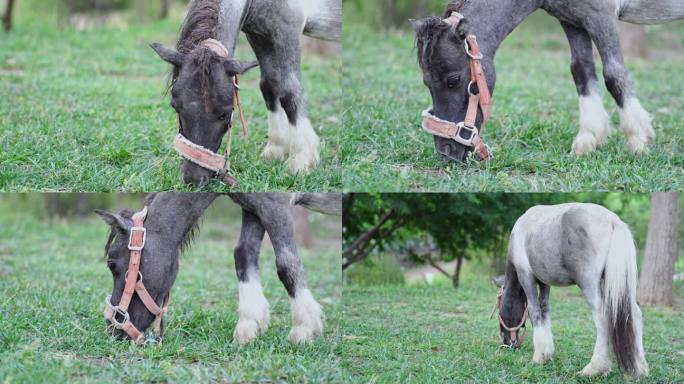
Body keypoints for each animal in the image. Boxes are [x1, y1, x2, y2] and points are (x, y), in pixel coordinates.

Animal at [96, 192, 342, 344]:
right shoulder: (254, 208)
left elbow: (286, 264)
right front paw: (248, 326)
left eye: (112, 264)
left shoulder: (276, 205)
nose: (113, 330)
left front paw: (304, 329)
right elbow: (244, 254)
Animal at [150, 0, 342, 186]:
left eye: (225, 113)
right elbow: (270, 84)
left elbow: (289, 89)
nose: (194, 179)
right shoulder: (260, 35)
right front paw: (276, 148)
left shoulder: (287, 30)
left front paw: (302, 160)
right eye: (175, 107)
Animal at [412, 0, 684, 162]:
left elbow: (614, 75)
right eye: (427, 84)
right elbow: (582, 71)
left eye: (453, 80)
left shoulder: (601, 16)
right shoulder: (574, 20)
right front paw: (587, 139)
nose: (446, 154)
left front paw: (638, 139)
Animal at [492, 204, 648, 378]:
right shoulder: (545, 283)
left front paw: (539, 357)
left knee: (602, 317)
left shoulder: (527, 276)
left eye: (499, 310)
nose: (506, 343)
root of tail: (613, 221)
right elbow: (545, 310)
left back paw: (594, 368)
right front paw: (547, 353)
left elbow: (535, 312)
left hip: (588, 284)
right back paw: (640, 368)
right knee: (635, 315)